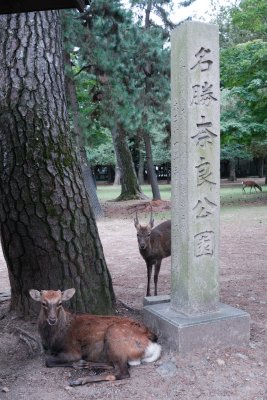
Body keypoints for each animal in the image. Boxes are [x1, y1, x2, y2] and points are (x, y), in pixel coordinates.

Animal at [29, 290, 161, 386]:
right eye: (43, 303)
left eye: (60, 303)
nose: (52, 319)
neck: (52, 339)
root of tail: (154, 345)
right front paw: (79, 364)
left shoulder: (73, 351)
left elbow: (48, 361)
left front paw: (77, 364)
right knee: (113, 365)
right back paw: (87, 365)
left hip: (114, 335)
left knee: (123, 372)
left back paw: (80, 379)